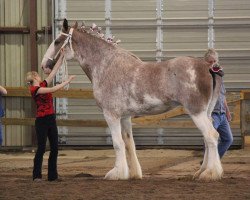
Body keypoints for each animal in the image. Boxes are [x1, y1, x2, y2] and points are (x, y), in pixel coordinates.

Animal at [41, 19, 223, 181]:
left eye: (57, 41)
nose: (44, 65)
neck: (105, 66)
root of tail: (207, 65)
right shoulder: (125, 117)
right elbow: (129, 143)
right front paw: (133, 173)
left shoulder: (111, 115)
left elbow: (117, 143)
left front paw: (116, 174)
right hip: (206, 113)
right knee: (207, 139)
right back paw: (202, 172)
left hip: (196, 112)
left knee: (211, 136)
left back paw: (210, 173)